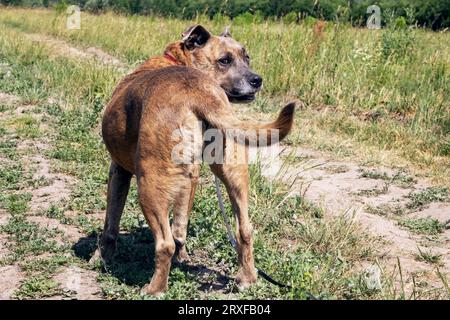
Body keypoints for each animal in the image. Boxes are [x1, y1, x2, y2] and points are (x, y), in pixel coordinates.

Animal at [93, 24, 298, 296]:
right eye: (225, 60)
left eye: (246, 57)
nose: (257, 80)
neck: (179, 60)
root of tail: (198, 92)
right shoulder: (190, 178)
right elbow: (181, 226)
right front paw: (183, 257)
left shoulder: (118, 170)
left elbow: (111, 224)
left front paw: (101, 258)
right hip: (234, 174)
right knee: (244, 229)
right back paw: (247, 278)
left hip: (149, 183)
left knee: (164, 243)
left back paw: (154, 289)